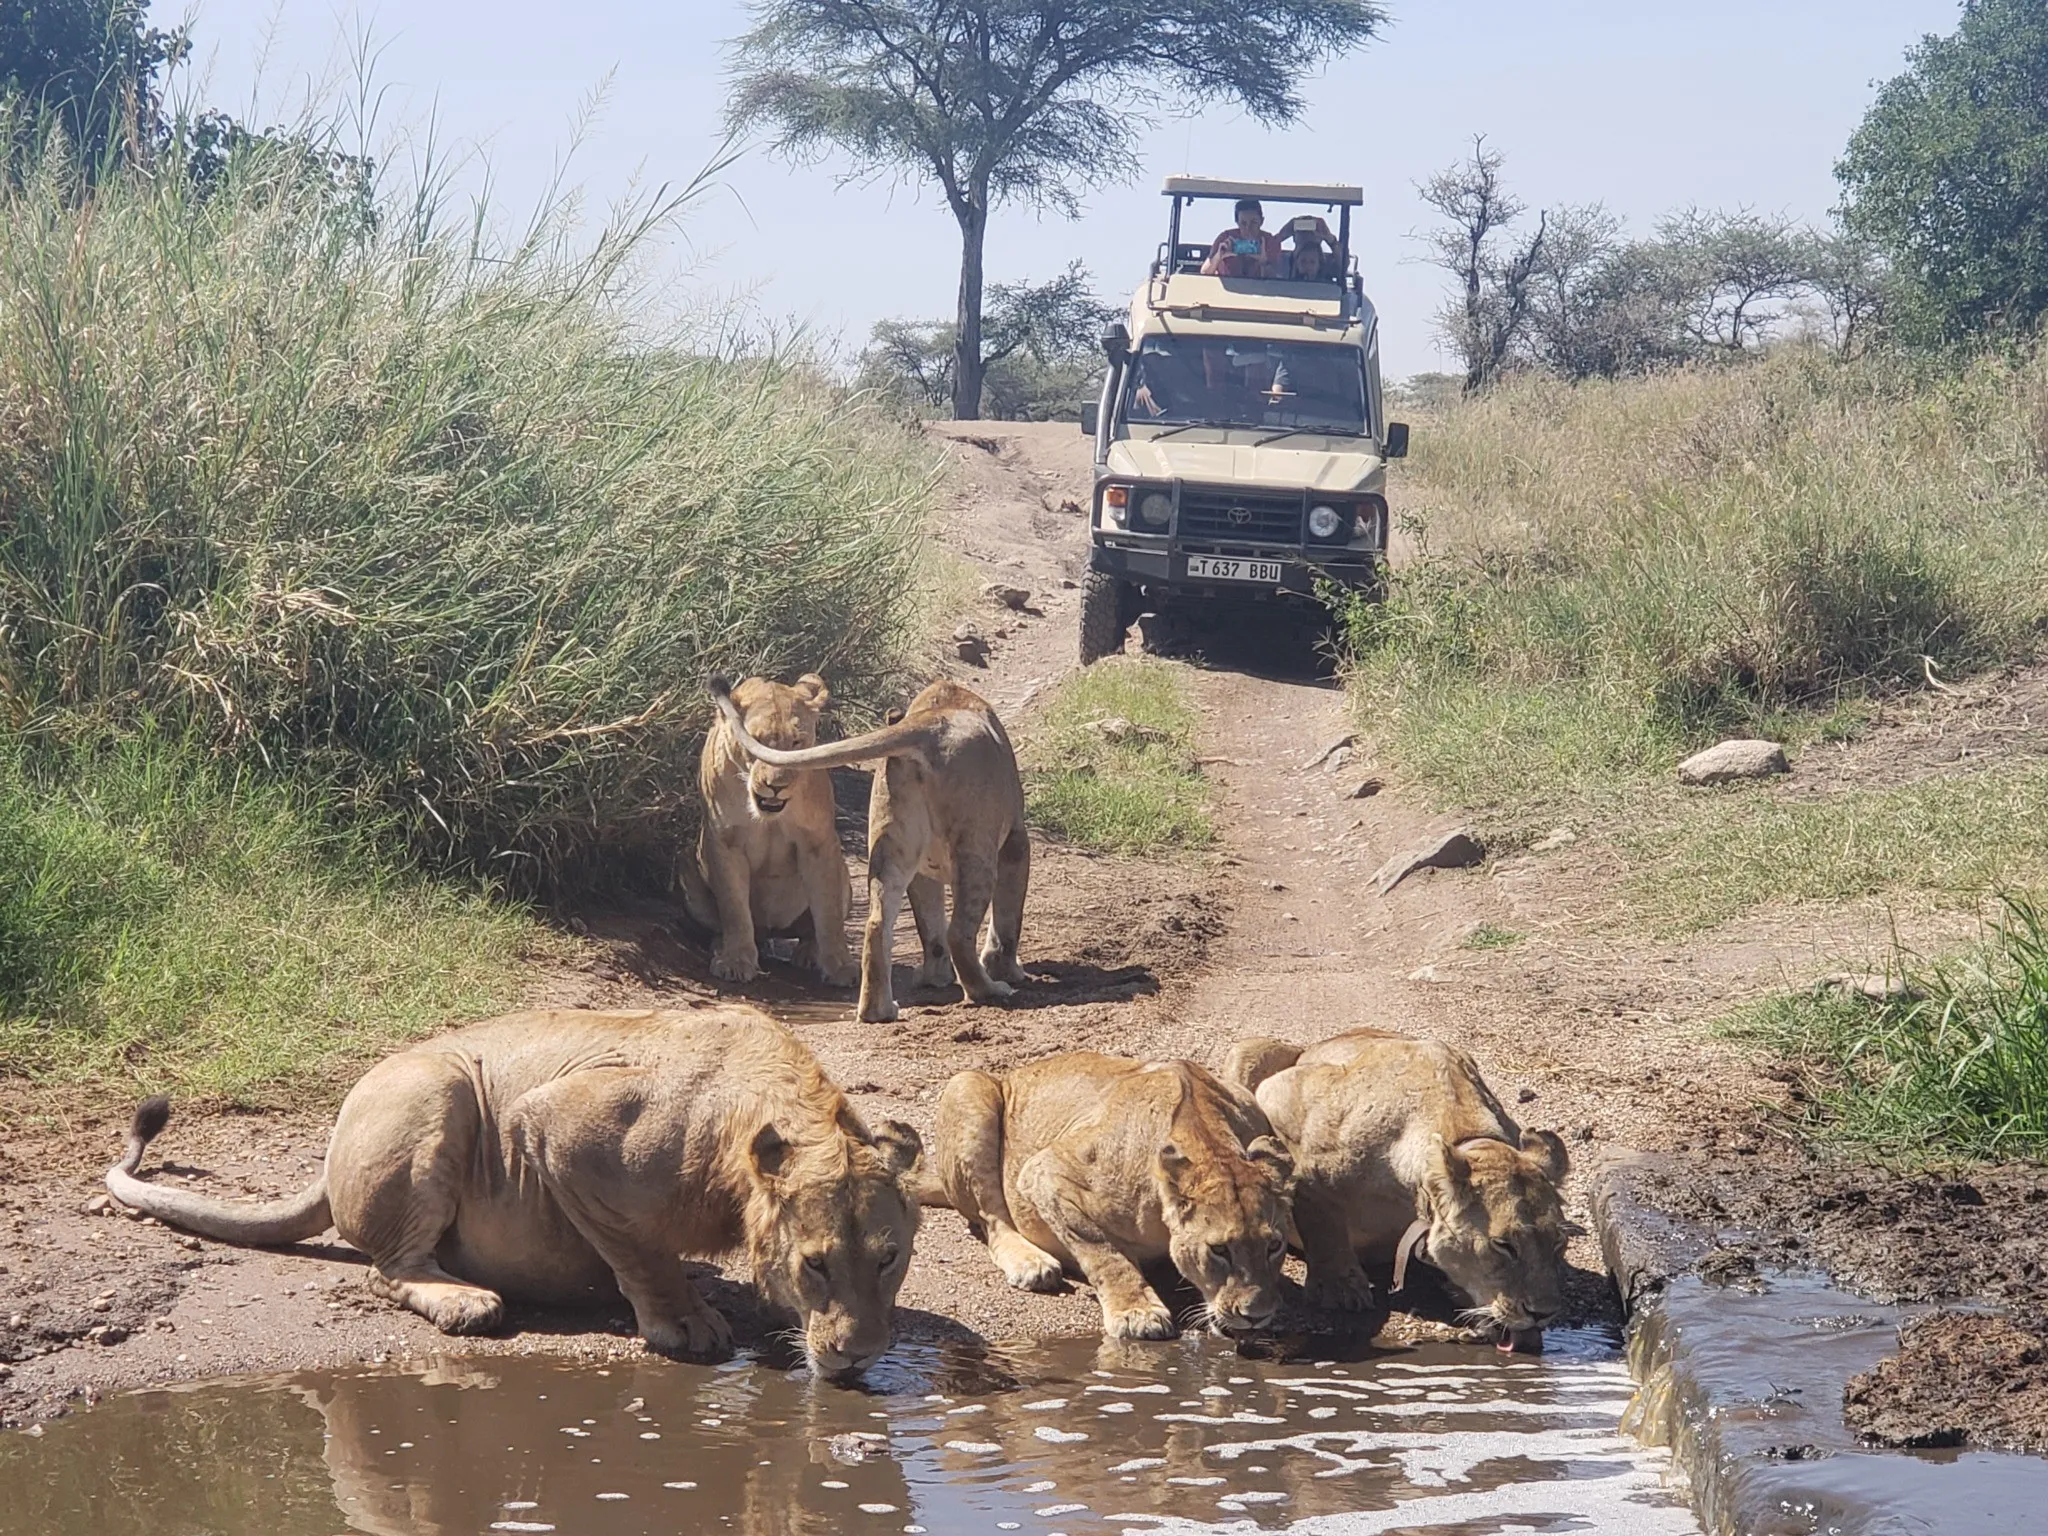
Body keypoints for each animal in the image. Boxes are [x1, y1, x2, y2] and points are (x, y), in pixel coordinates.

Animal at [105, 1007, 921, 1379]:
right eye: (815, 1264)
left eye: (888, 1260)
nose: (860, 1356)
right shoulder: (559, 1125)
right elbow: (640, 1251)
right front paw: (685, 1320)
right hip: (440, 1083)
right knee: (390, 1269)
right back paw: (466, 1301)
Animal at [679, 672, 856, 986]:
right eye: (757, 742)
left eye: (797, 741)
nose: (776, 785)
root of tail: (774, 930)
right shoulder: (724, 841)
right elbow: (734, 907)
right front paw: (735, 961)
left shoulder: (818, 843)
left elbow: (829, 911)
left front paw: (839, 966)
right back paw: (721, 945)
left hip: (843, 875)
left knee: (811, 928)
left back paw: (810, 953)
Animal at [709, 676, 1029, 1024]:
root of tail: (926, 728)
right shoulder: (1015, 841)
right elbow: (1007, 918)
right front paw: (1004, 969)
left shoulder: (922, 872)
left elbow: (930, 927)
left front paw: (934, 978)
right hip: (975, 845)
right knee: (958, 932)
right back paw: (990, 990)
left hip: (889, 845)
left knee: (876, 924)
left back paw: (878, 1010)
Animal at [917, 1052, 1294, 1340]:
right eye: (1219, 1250)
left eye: (1274, 1245)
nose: (1256, 1315)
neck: (1208, 1141)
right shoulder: (1044, 1172)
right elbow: (1102, 1251)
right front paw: (1137, 1313)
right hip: (967, 1086)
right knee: (993, 1221)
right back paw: (1032, 1263)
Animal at [1224, 1028, 1570, 1351]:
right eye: (1503, 1245)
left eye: (1558, 1243)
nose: (1543, 1313)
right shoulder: (1284, 1095)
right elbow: (1320, 1220)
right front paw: (1339, 1288)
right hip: (1249, 1050)